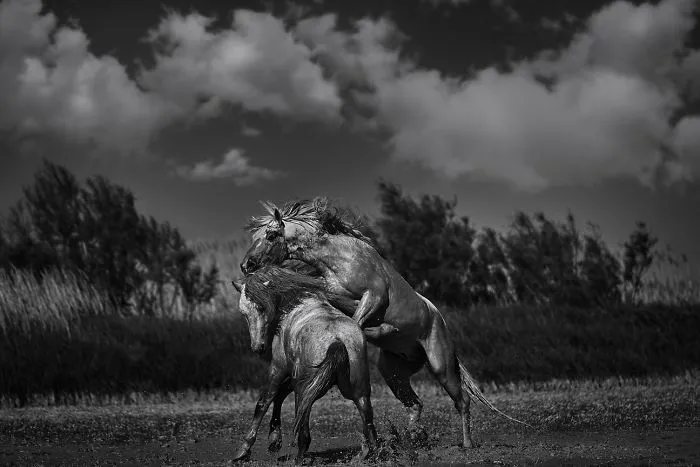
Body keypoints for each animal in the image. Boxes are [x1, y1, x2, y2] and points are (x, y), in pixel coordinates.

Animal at [230, 265, 378, 465]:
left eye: (262, 307)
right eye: (244, 313)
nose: (258, 347)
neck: (297, 303)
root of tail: (337, 340)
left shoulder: (278, 367)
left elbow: (265, 400)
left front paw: (244, 449)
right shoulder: (294, 376)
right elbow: (279, 396)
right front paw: (274, 440)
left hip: (305, 389)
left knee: (303, 425)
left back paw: (299, 458)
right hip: (356, 391)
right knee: (368, 420)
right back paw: (365, 454)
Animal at [240, 198, 531, 449]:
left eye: (270, 235)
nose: (246, 265)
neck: (341, 258)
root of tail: (438, 319)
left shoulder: (374, 296)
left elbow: (355, 319)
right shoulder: (331, 290)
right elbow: (322, 294)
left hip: (441, 366)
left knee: (463, 401)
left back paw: (467, 444)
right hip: (393, 372)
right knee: (415, 404)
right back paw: (414, 434)